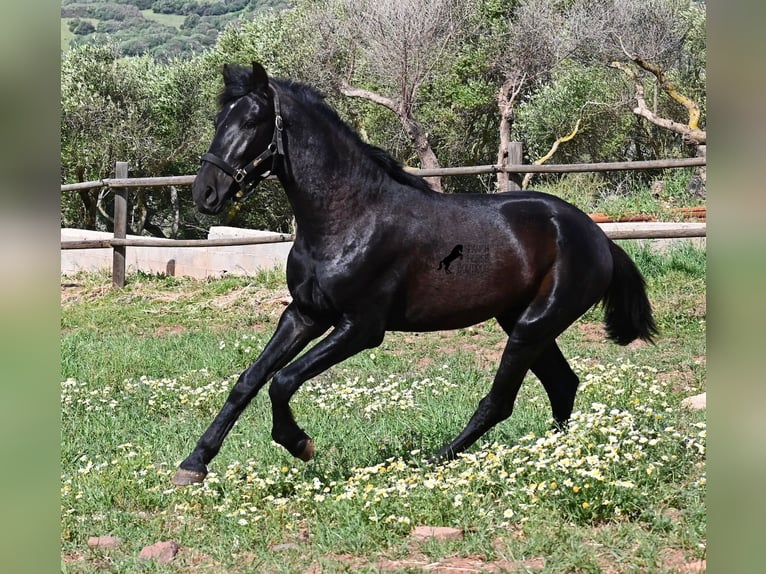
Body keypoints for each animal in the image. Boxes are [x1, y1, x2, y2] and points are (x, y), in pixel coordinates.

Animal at [172, 62, 656, 486]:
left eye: (252, 121)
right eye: (219, 118)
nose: (205, 193)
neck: (349, 217)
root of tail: (600, 238)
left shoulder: (361, 327)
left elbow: (283, 380)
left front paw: (300, 443)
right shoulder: (304, 314)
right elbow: (248, 381)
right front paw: (193, 464)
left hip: (532, 327)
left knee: (501, 401)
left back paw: (437, 459)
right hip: (523, 322)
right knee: (562, 385)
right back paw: (554, 456)